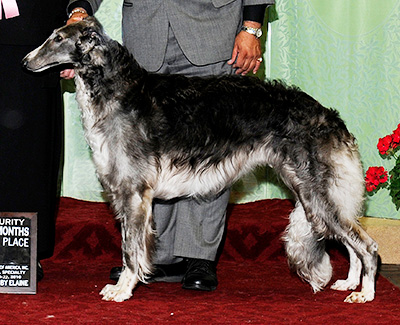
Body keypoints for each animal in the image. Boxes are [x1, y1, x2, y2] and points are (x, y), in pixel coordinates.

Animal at [22, 17, 378, 302]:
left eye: (58, 38)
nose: (25, 62)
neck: (119, 90)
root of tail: (330, 116)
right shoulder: (131, 194)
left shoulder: (133, 191)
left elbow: (131, 251)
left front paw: (122, 290)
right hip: (314, 193)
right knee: (351, 242)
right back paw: (349, 283)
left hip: (316, 192)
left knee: (368, 246)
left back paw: (366, 294)